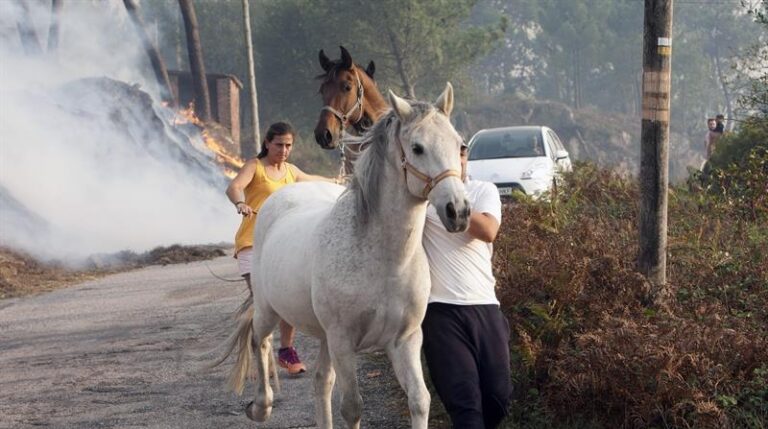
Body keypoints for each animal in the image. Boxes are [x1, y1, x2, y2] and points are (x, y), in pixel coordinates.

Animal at [222, 83, 468, 428]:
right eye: (417, 148)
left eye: (459, 145)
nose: (458, 211)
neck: (384, 262)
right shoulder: (343, 341)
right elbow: (352, 407)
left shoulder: (404, 340)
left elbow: (420, 400)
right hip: (270, 311)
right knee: (261, 341)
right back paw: (260, 407)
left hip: (324, 337)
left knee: (321, 382)